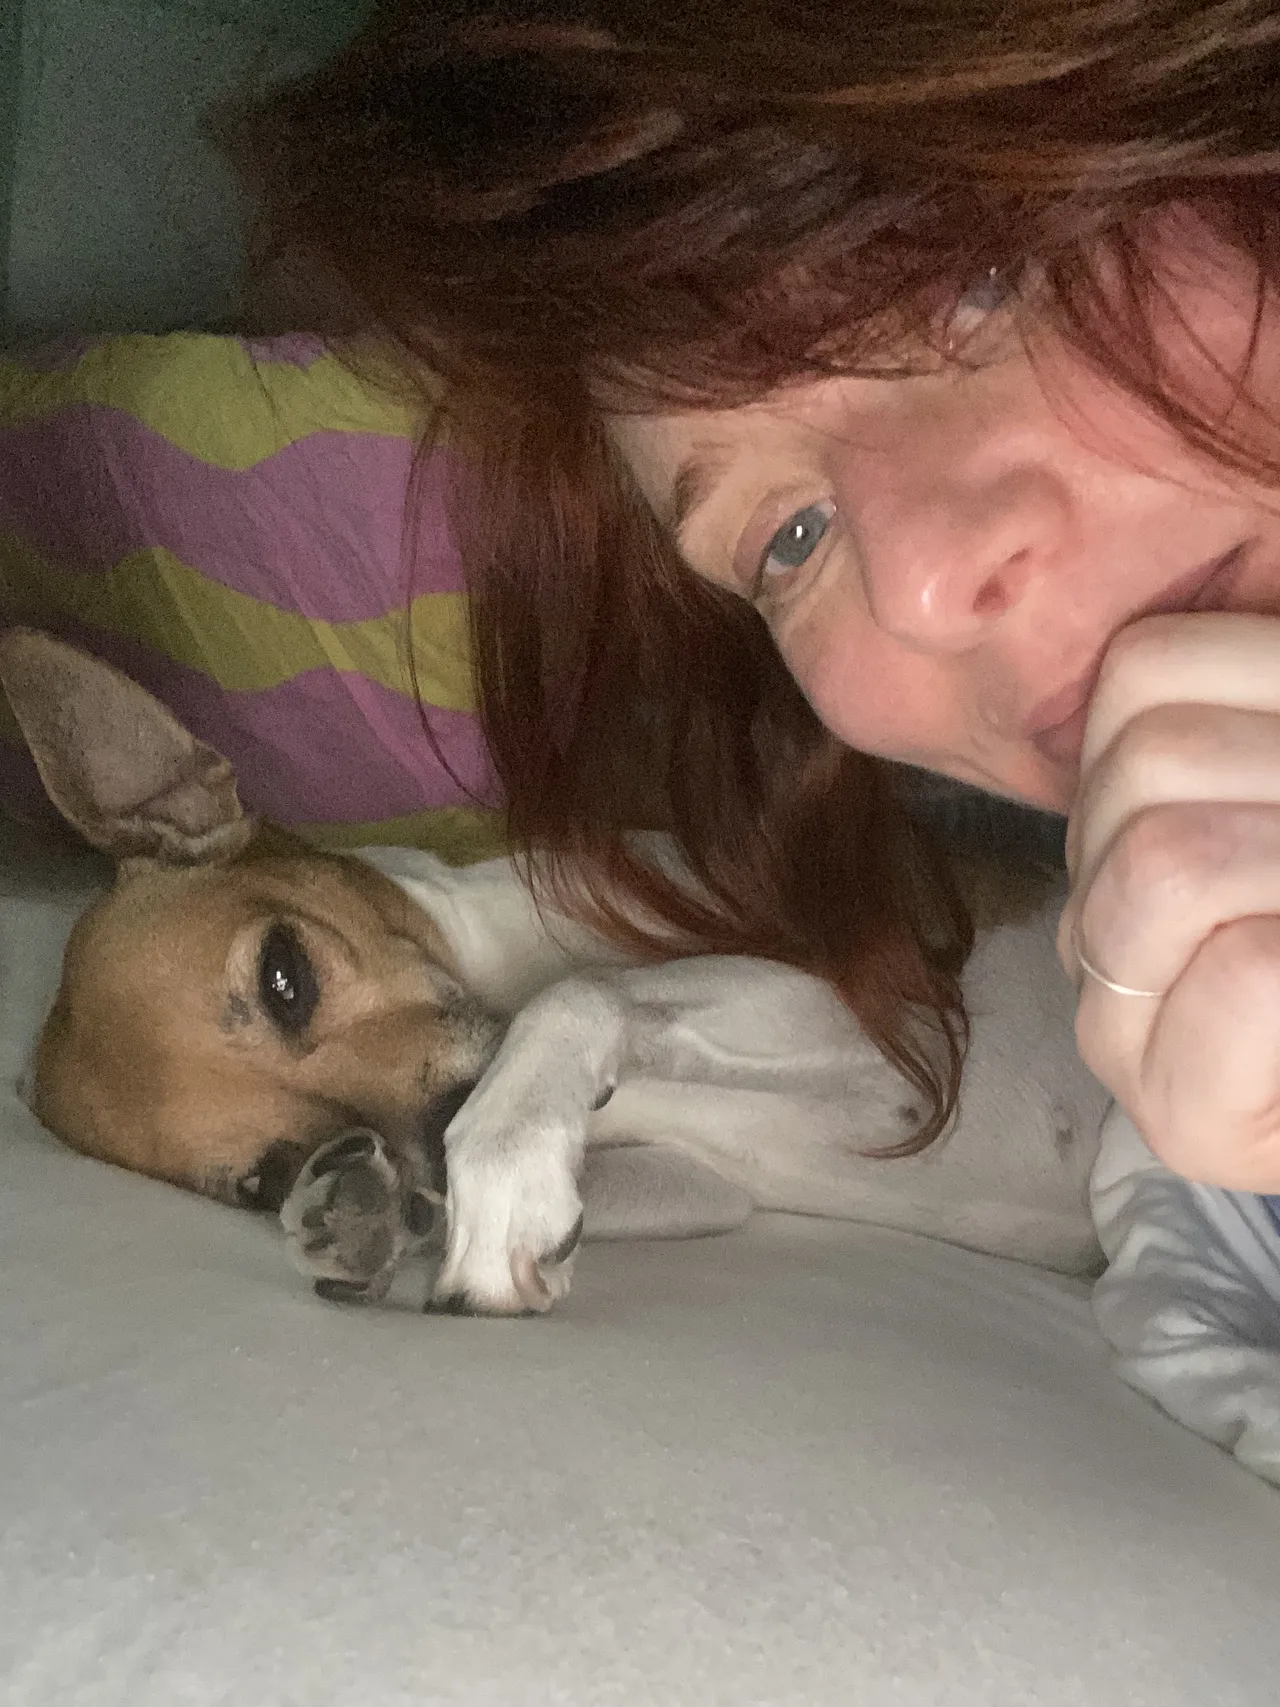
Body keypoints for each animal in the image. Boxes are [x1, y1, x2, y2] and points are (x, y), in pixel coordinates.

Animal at [0, 629, 1111, 1314]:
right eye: (262, 1174)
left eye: (284, 975)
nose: (445, 1131)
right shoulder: (704, 1182)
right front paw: (372, 1208)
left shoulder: (890, 1021)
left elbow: (574, 990)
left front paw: (493, 1145)